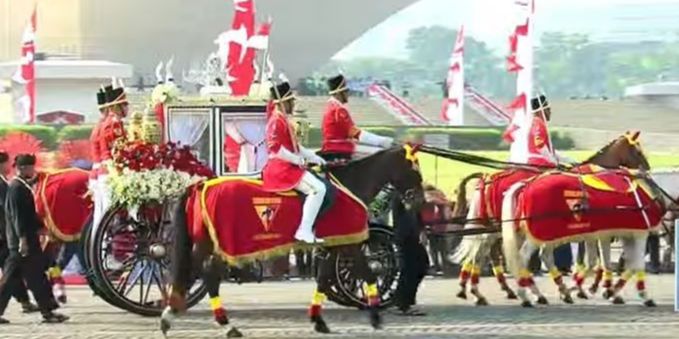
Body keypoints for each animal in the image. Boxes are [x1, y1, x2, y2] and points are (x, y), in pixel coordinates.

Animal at [161, 145, 424, 338]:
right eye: (414, 169)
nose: (419, 200)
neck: (348, 185)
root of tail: (200, 185)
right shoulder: (349, 243)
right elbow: (368, 272)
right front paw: (375, 316)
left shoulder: (331, 245)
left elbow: (323, 278)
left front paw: (318, 320)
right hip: (214, 244)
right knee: (199, 273)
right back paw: (188, 317)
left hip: (211, 245)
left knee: (202, 274)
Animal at [448, 131, 652, 306]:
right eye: (637, 151)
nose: (647, 169)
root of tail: (487, 177)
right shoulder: (596, 232)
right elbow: (597, 261)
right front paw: (594, 288)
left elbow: (592, 261)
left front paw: (590, 288)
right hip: (499, 229)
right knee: (491, 255)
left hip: (494, 230)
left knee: (481, 254)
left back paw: (476, 290)